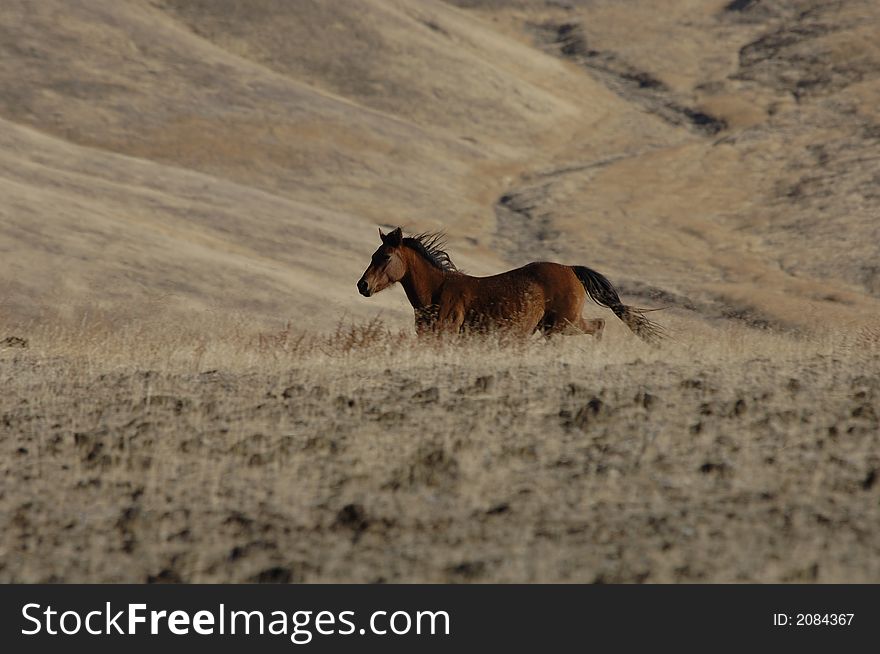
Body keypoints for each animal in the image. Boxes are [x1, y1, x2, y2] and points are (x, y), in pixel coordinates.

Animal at [358, 228, 660, 344]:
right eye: (373, 254)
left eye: (385, 257)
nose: (363, 286)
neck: (438, 290)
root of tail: (571, 269)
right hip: (556, 325)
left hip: (564, 323)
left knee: (598, 326)